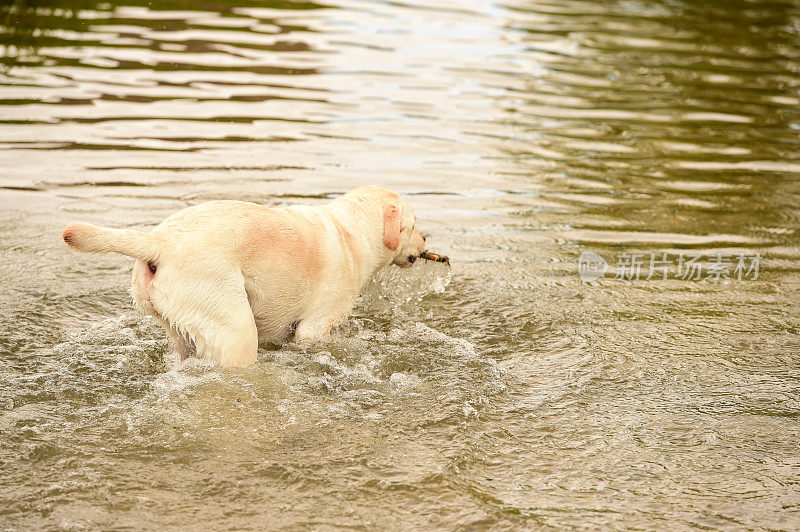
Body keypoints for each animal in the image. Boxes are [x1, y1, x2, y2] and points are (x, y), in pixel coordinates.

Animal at [62, 186, 428, 366]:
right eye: (413, 224)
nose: (426, 239)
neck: (350, 230)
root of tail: (161, 242)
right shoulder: (314, 327)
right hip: (234, 327)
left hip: (179, 330)